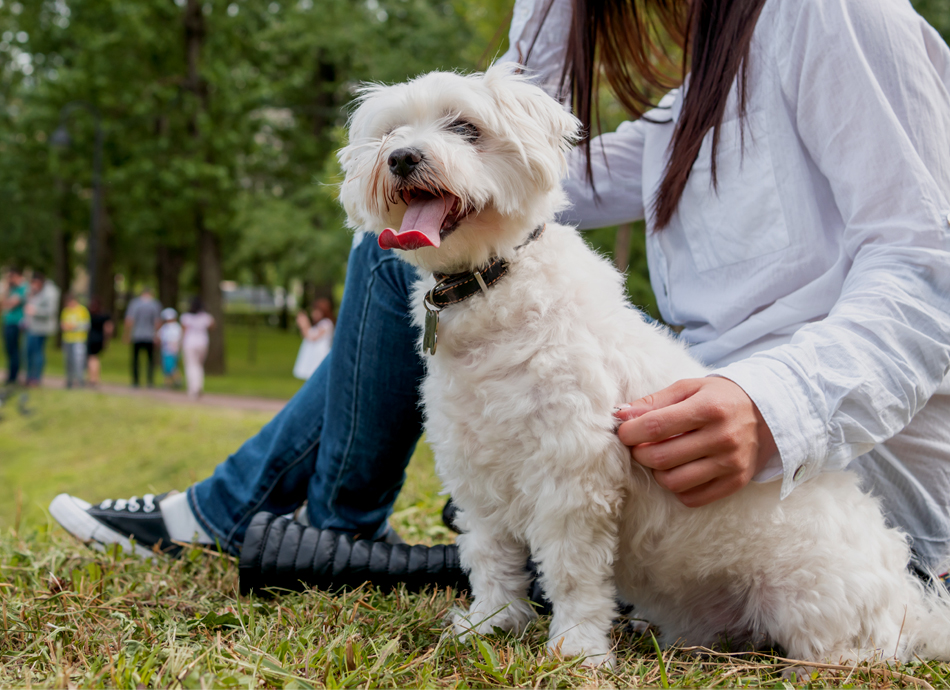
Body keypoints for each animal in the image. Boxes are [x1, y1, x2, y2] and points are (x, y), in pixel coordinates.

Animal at [336, 64, 950, 668]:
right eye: (390, 132)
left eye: (465, 127)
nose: (401, 157)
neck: (493, 286)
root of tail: (910, 606)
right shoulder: (477, 473)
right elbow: (491, 559)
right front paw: (491, 624)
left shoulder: (574, 476)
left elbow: (574, 573)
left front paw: (576, 649)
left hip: (811, 600)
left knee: (858, 649)